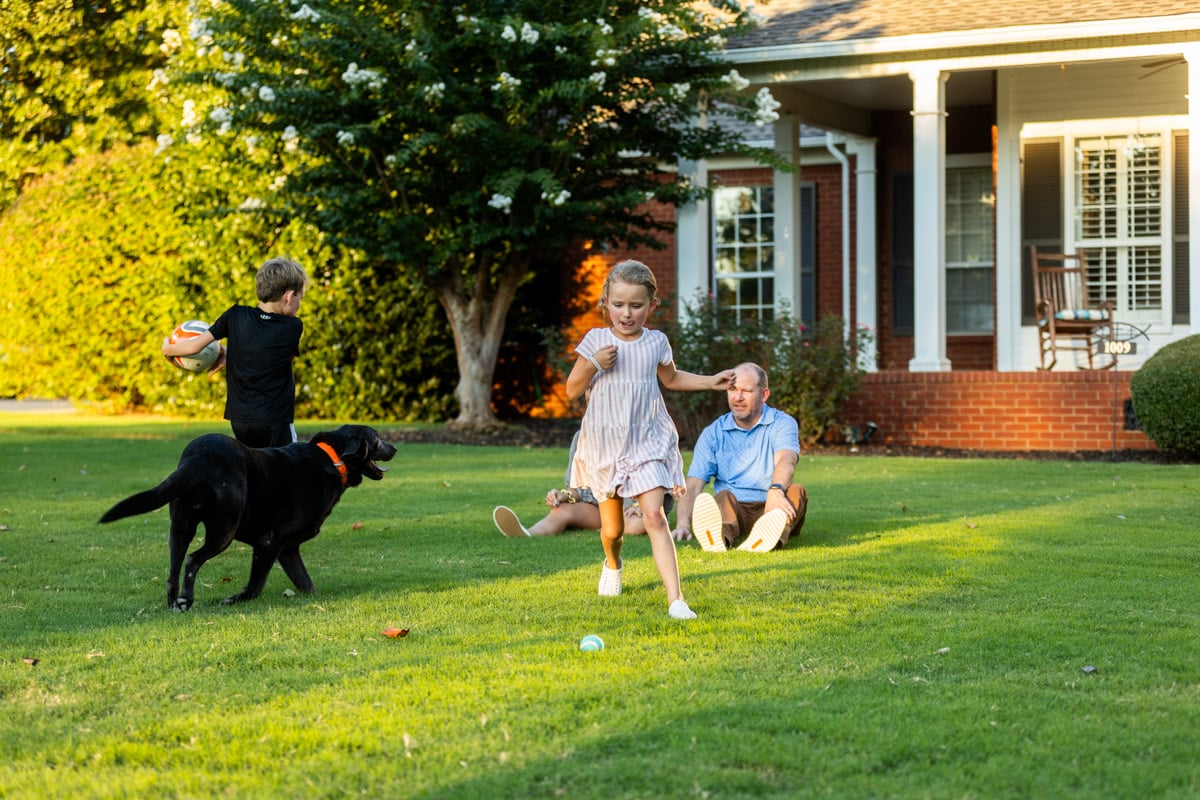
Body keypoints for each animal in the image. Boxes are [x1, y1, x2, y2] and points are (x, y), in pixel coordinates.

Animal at [98, 424, 396, 606]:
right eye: (377, 438)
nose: (395, 449)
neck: (332, 459)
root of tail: (200, 459)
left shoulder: (288, 549)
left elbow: (305, 582)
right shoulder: (269, 543)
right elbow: (256, 585)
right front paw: (236, 599)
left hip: (180, 527)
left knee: (174, 568)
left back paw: (176, 602)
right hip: (224, 530)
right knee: (193, 561)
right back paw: (187, 600)